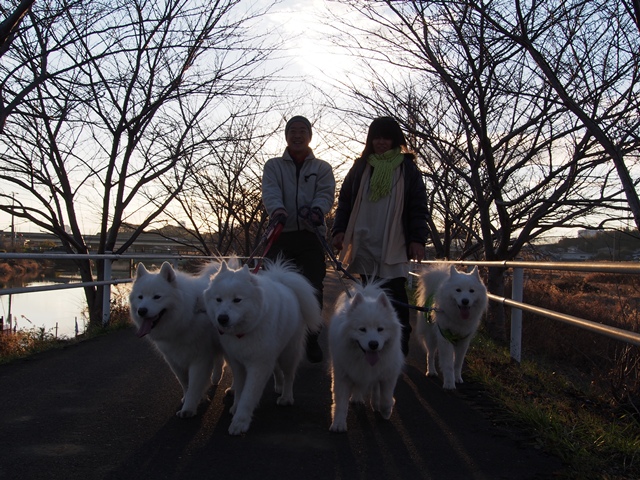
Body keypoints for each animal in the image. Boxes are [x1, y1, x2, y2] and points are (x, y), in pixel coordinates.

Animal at [127, 260, 225, 418]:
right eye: (140, 297)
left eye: (157, 297)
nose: (141, 311)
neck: (188, 316)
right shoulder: (173, 359)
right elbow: (184, 382)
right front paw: (189, 398)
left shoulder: (200, 358)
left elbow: (194, 384)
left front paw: (189, 408)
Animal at [205, 258, 322, 436]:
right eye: (218, 299)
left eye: (237, 300)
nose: (222, 318)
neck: (244, 332)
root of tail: (284, 284)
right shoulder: (238, 363)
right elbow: (240, 389)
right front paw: (235, 406)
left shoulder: (258, 365)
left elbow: (248, 395)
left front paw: (240, 422)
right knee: (278, 371)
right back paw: (279, 386)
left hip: (288, 354)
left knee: (289, 376)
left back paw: (286, 397)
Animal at [328, 284, 402, 434]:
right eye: (362, 329)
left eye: (380, 329)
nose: (373, 344)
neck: (363, 359)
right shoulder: (343, 374)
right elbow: (340, 402)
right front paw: (338, 424)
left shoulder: (388, 374)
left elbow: (386, 397)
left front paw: (386, 410)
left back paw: (375, 403)